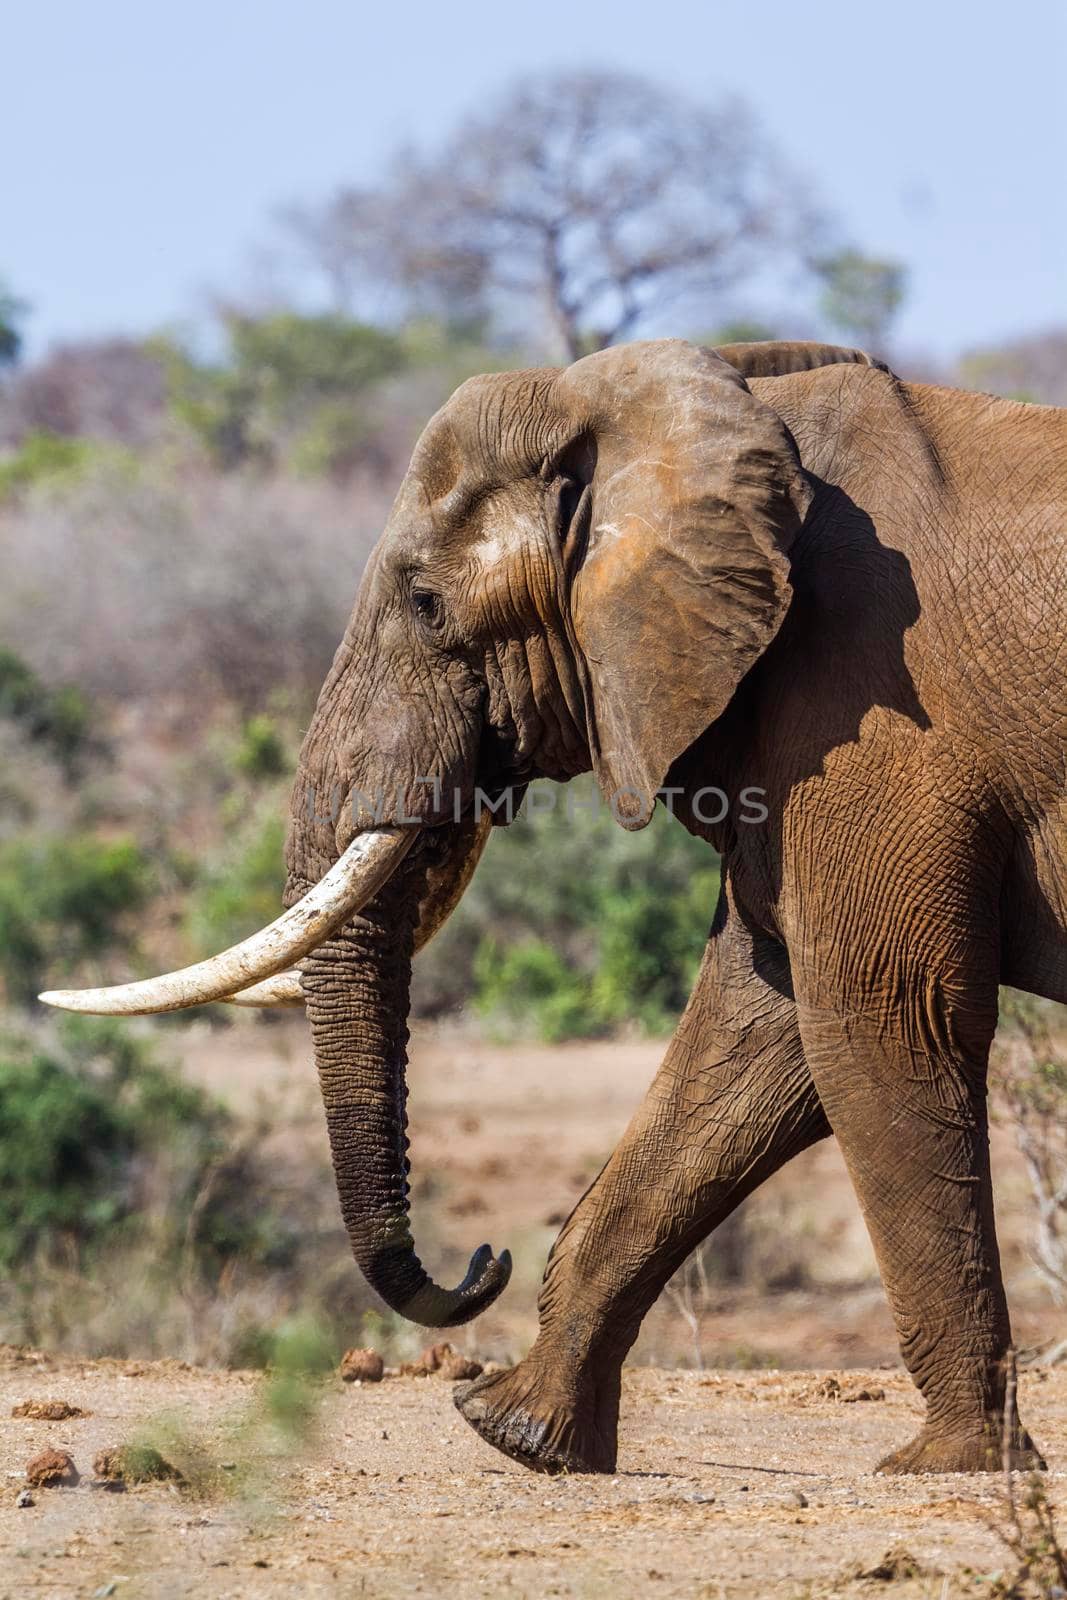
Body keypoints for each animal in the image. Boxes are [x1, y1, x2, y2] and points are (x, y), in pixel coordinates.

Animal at [45, 334, 1067, 1472]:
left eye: (426, 604)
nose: (480, 1259)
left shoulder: (872, 712)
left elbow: (878, 1017)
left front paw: (953, 1468)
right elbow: (756, 1041)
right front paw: (515, 1435)